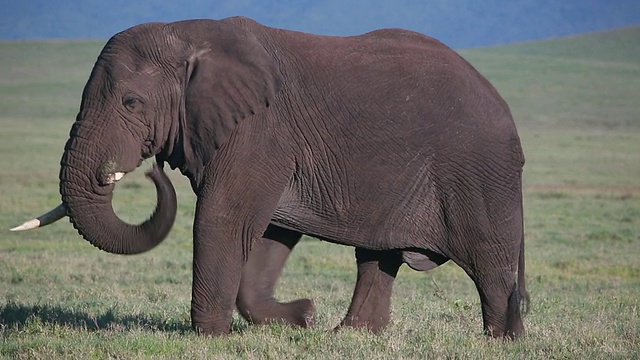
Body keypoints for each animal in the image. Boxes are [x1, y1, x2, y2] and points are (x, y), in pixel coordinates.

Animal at [11, 16, 528, 338]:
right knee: (376, 258)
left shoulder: (259, 131)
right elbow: (269, 234)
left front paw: (211, 338)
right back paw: (348, 335)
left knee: (490, 263)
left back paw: (501, 341)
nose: (151, 169)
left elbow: (223, 220)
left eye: (131, 102)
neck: (190, 35)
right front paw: (298, 318)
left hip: (479, 174)